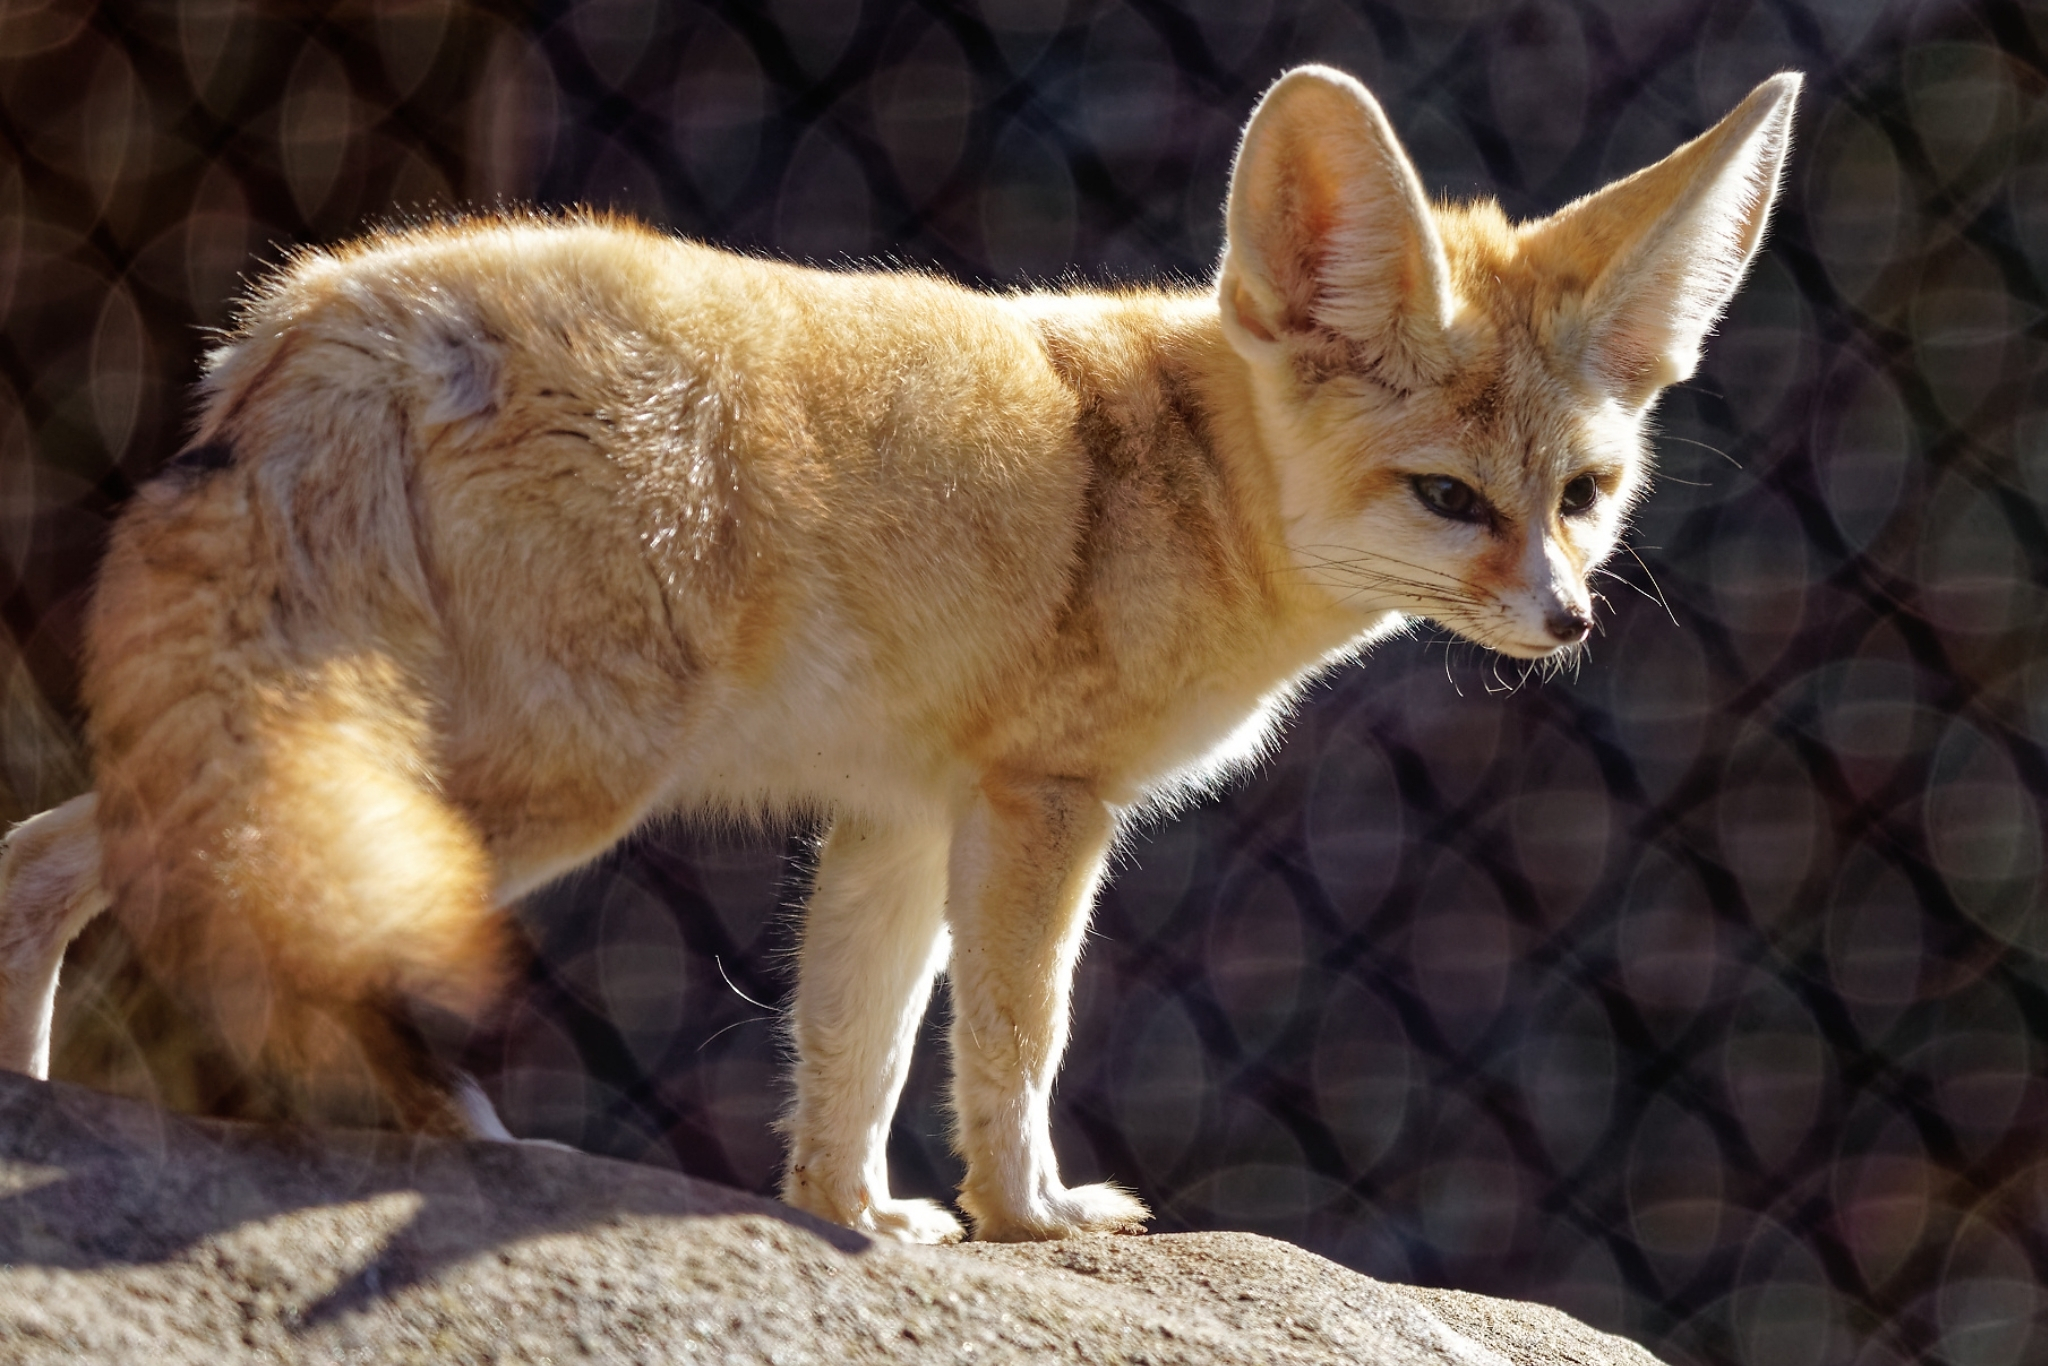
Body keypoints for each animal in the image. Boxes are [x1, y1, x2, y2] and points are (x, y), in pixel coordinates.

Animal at [0, 66, 1796, 1242]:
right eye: (1446, 499)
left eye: (1582, 496)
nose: (1564, 619)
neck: (1179, 476)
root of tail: (333, 305)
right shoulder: (1042, 804)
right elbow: (1013, 1032)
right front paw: (1028, 1215)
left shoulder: (901, 813)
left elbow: (851, 1040)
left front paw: (852, 1216)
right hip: (540, 786)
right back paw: (466, 1139)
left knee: (44, 851)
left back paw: (35, 1099)